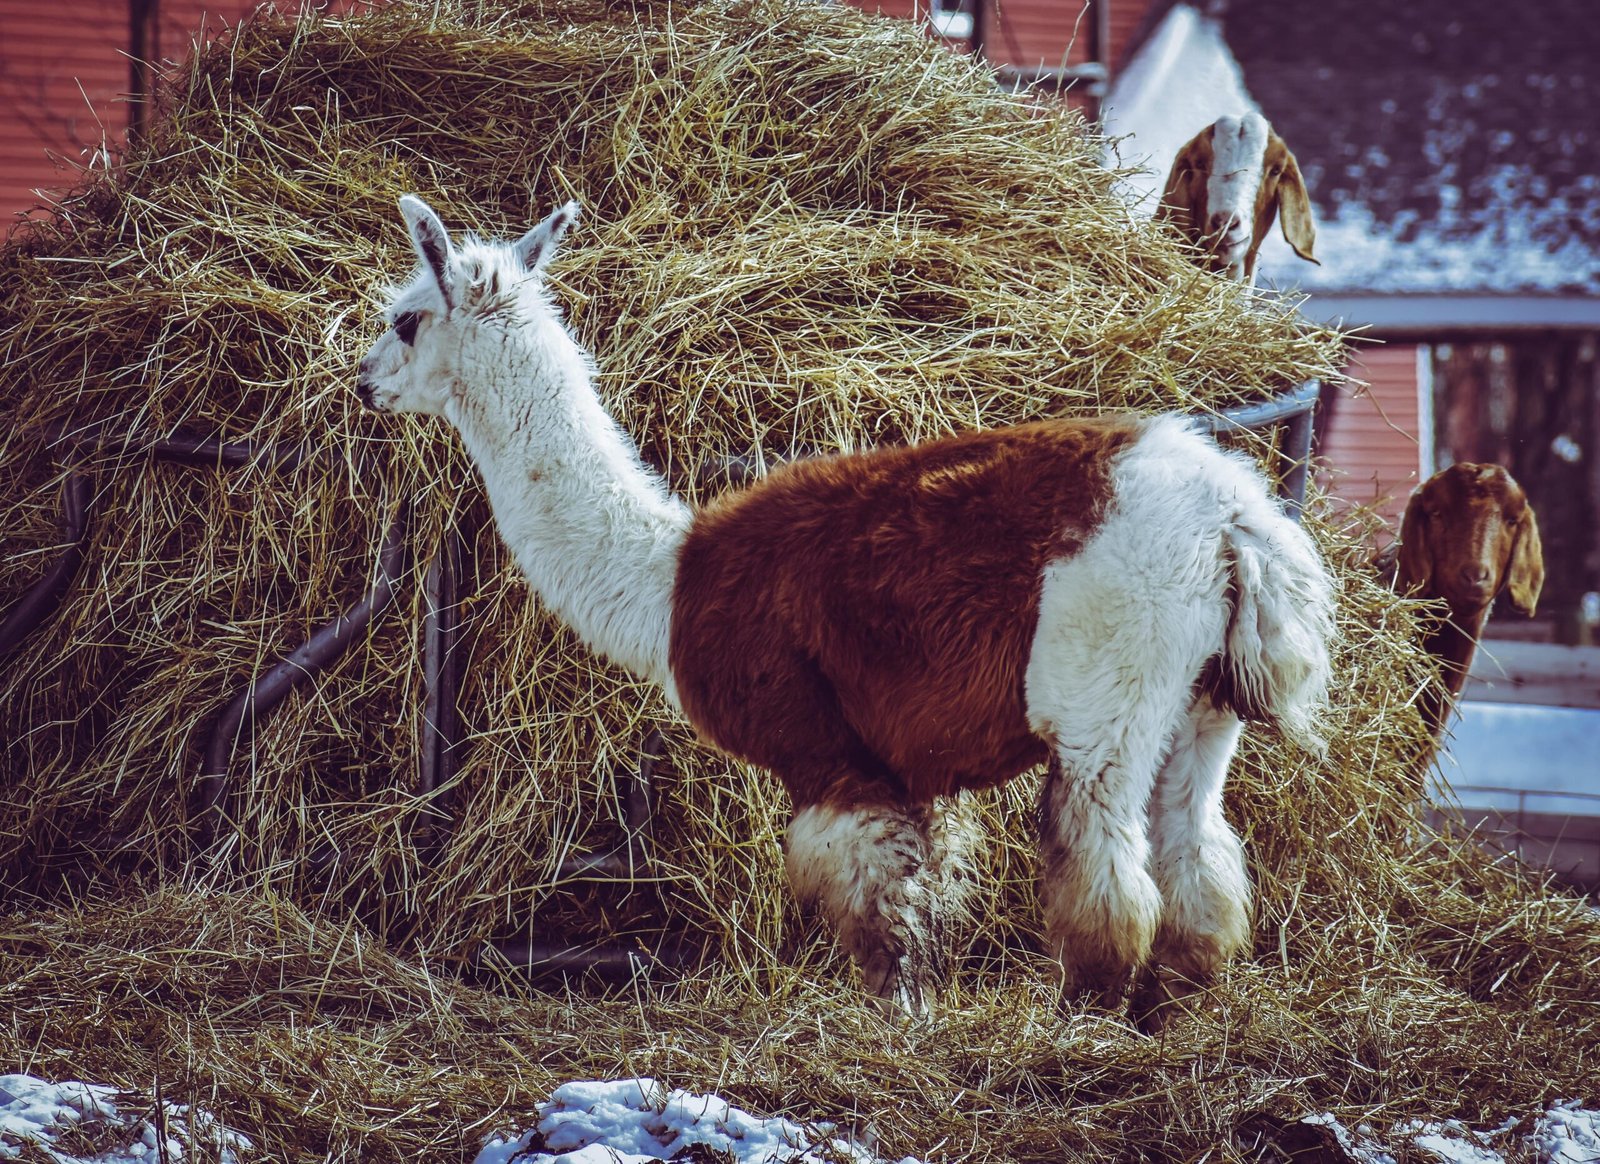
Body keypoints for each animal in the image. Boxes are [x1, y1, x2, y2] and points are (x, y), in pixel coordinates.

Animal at [355, 195, 1336, 1028]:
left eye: (406, 318)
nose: (364, 381)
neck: (667, 577)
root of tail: (1236, 518)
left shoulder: (827, 754)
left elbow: (875, 915)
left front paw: (896, 1026)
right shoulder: (908, 765)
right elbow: (922, 895)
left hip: (1111, 678)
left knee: (1106, 866)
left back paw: (1084, 1023)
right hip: (1201, 700)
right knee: (1199, 857)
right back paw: (1176, 1014)